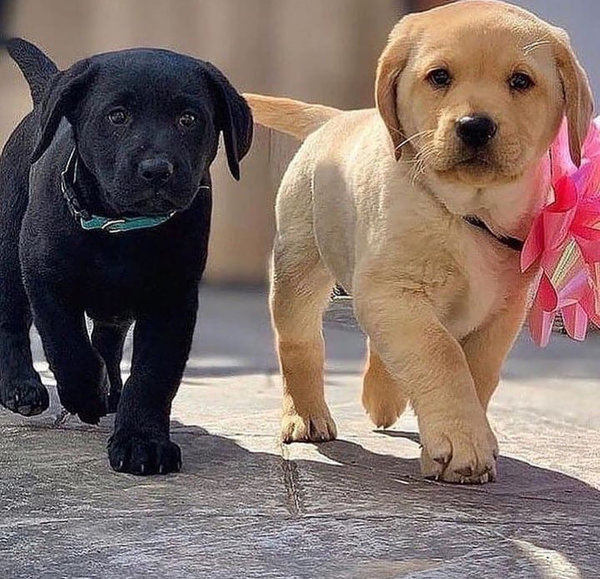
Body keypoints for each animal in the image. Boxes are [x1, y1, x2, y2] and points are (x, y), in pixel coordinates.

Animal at [0, 40, 252, 476]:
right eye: (117, 116)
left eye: (188, 119)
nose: (156, 170)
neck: (124, 229)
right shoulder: (46, 281)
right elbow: (68, 348)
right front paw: (86, 394)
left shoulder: (173, 300)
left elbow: (153, 374)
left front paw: (141, 442)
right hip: (11, 258)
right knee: (14, 324)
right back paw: (22, 387)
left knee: (107, 340)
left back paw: (113, 392)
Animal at [246, 1, 592, 484]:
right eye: (439, 76)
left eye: (521, 81)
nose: (475, 126)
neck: (468, 212)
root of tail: (337, 118)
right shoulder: (393, 290)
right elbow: (440, 354)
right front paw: (462, 440)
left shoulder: (503, 311)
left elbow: (476, 372)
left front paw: (465, 434)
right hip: (299, 265)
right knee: (299, 344)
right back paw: (306, 415)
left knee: (380, 346)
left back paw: (382, 398)